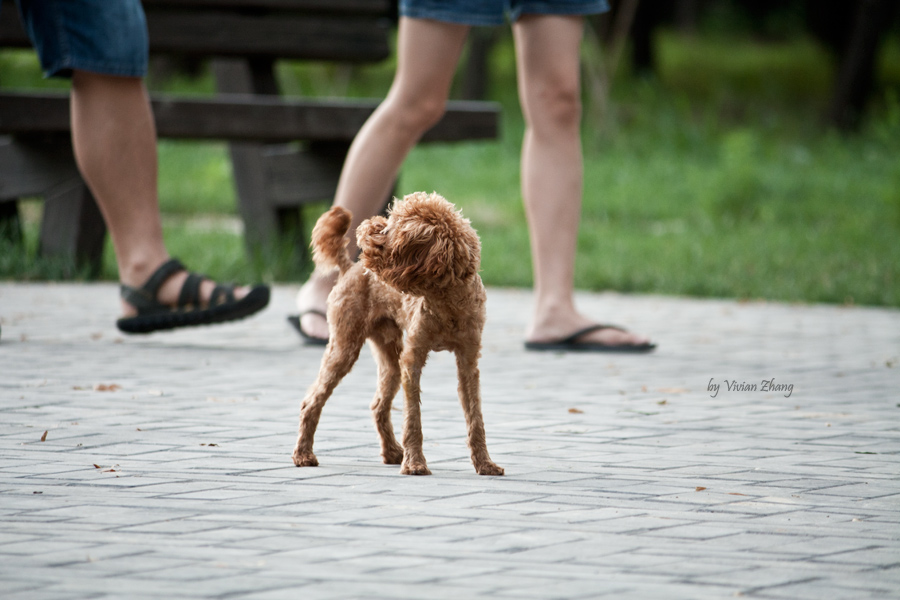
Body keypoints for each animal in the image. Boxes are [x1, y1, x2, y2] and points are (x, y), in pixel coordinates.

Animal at [296, 190, 506, 476]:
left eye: (391, 229)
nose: (368, 226)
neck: (447, 303)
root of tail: (349, 267)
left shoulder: (468, 363)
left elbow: (475, 418)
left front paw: (485, 463)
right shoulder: (412, 360)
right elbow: (413, 418)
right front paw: (415, 463)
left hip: (389, 359)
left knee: (378, 406)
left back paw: (392, 452)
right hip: (344, 348)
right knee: (311, 402)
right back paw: (303, 455)